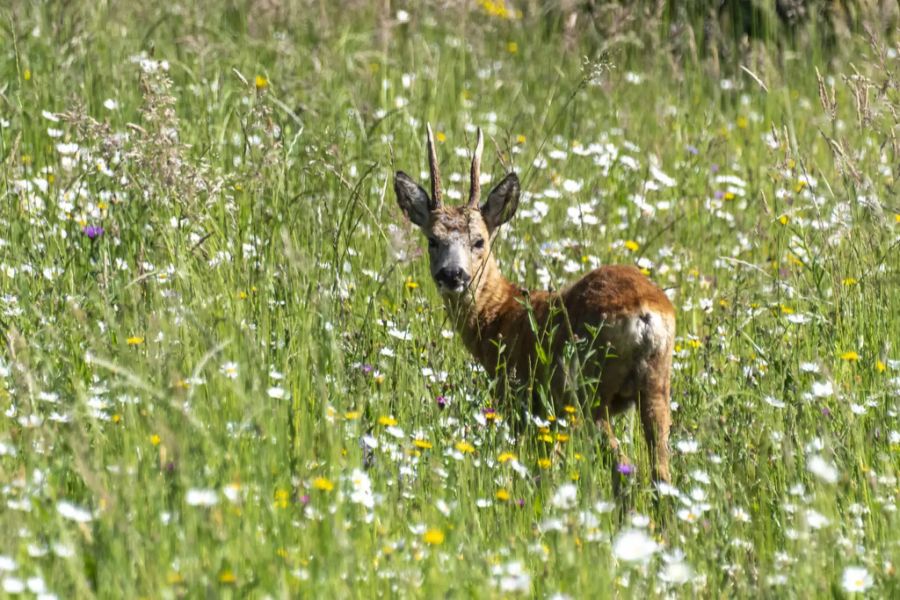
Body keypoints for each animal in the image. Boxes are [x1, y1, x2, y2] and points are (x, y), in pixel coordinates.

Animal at [394, 124, 676, 486]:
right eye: (433, 240)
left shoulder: (524, 401)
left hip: (587, 392)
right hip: (656, 384)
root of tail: (644, 314)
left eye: (479, 241)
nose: (452, 274)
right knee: (661, 472)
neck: (501, 315)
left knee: (623, 467)